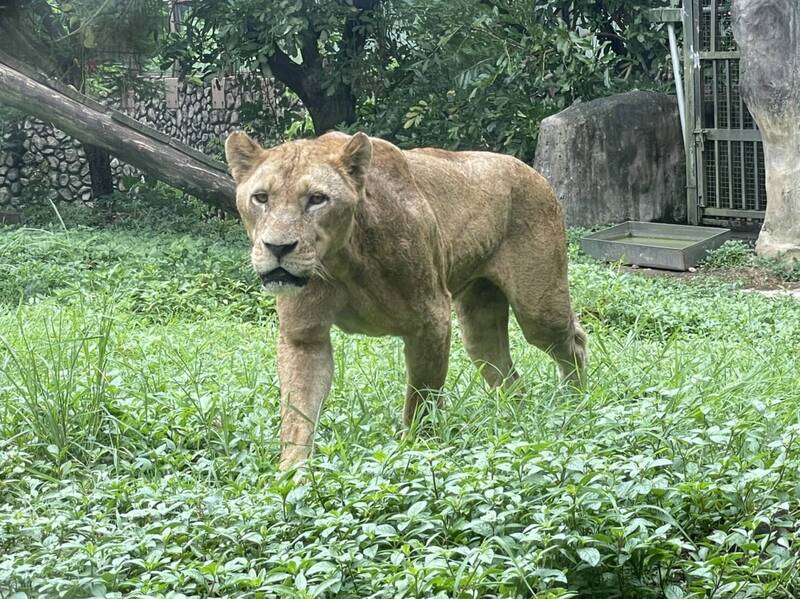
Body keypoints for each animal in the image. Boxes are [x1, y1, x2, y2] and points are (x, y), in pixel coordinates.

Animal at [225, 130, 588, 468]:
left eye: (317, 199)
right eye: (261, 198)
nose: (278, 247)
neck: (340, 262)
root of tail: (531, 171)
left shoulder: (432, 319)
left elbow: (422, 397)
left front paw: (416, 451)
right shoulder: (304, 336)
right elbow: (298, 413)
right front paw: (292, 474)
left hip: (538, 308)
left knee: (574, 340)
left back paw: (575, 402)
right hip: (479, 325)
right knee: (505, 372)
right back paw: (515, 418)